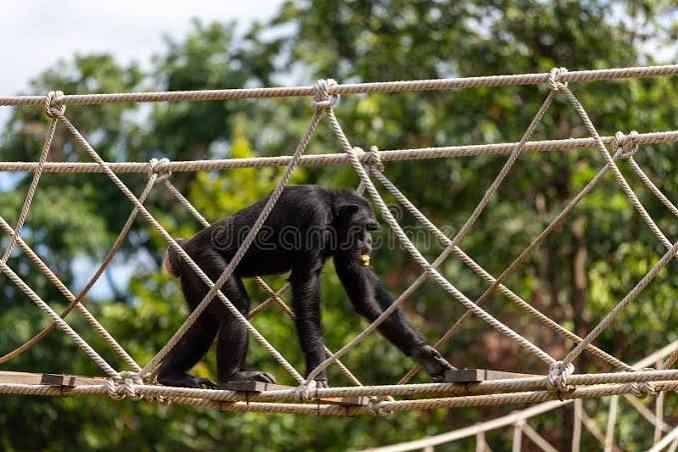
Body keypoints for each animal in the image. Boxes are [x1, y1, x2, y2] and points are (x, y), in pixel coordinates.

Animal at [158, 185, 453, 389]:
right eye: (364, 228)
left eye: (372, 229)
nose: (368, 243)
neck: (333, 215)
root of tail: (182, 248)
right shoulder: (314, 217)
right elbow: (305, 290)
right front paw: (317, 371)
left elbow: (366, 298)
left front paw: (423, 353)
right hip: (207, 260)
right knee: (235, 308)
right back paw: (233, 376)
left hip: (195, 275)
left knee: (206, 321)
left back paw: (172, 375)